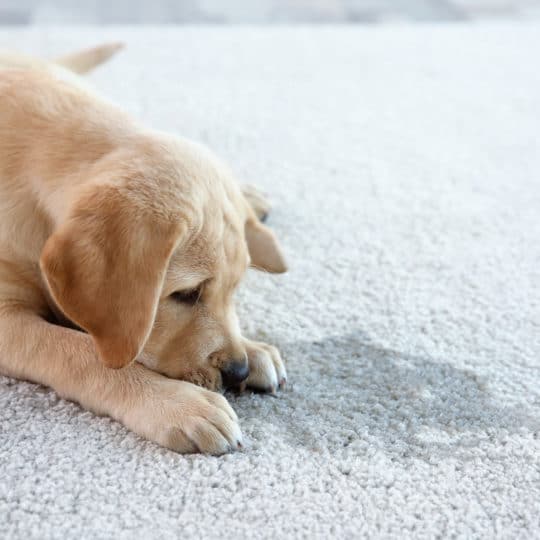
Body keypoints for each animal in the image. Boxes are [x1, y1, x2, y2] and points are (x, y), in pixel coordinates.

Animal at [0, 44, 286, 454]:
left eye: (234, 290)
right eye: (186, 294)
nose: (238, 370)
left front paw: (255, 347)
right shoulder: (6, 316)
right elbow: (78, 351)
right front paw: (176, 403)